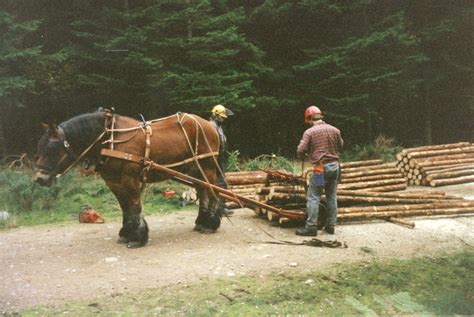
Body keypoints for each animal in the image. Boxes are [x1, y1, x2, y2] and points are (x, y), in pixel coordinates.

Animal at [34, 108, 223, 247]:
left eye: (52, 147)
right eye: (39, 146)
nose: (39, 179)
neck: (110, 139)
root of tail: (209, 125)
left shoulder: (129, 178)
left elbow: (134, 205)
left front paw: (138, 237)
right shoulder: (113, 181)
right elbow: (125, 207)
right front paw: (126, 233)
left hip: (207, 167)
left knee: (214, 192)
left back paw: (210, 224)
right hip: (195, 169)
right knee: (203, 191)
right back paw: (201, 222)